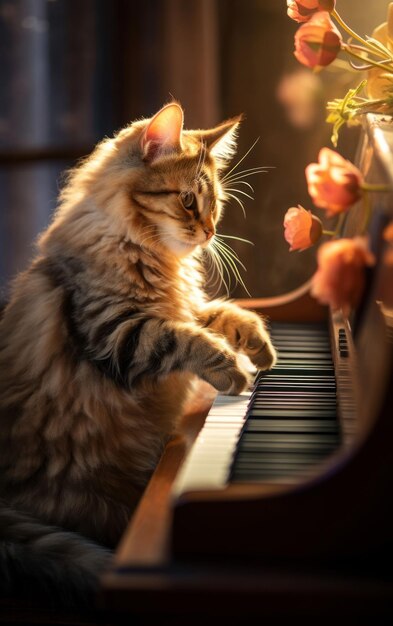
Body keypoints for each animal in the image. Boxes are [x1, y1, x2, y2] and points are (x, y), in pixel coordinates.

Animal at [0, 102, 276, 604]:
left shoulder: (183, 306)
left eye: (215, 204)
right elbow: (187, 340)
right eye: (188, 201)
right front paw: (235, 372)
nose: (210, 232)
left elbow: (218, 316)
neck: (147, 252)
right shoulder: (119, 333)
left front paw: (259, 348)